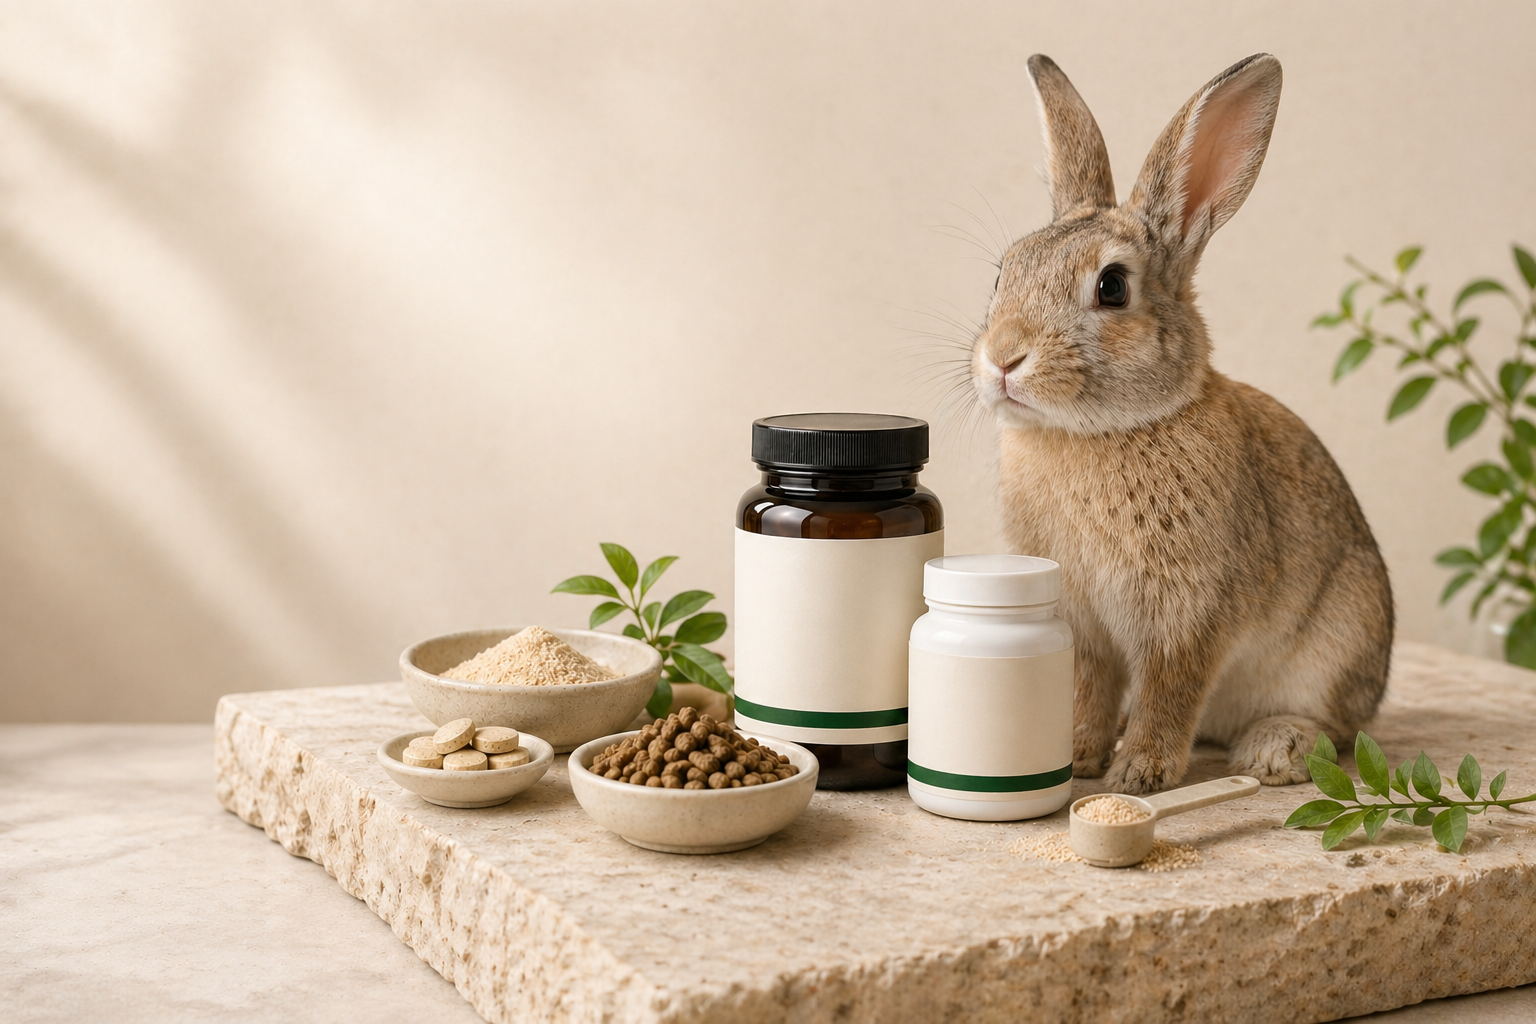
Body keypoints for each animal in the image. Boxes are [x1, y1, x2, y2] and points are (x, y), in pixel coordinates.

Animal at [968, 53, 1394, 794]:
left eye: (1112, 287)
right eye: (1004, 272)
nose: (1002, 358)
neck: (1097, 432)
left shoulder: (1190, 613)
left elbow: (1171, 689)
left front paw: (1139, 774)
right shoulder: (1083, 623)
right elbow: (1087, 686)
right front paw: (1078, 753)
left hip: (1340, 642)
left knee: (1338, 730)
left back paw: (1274, 750)